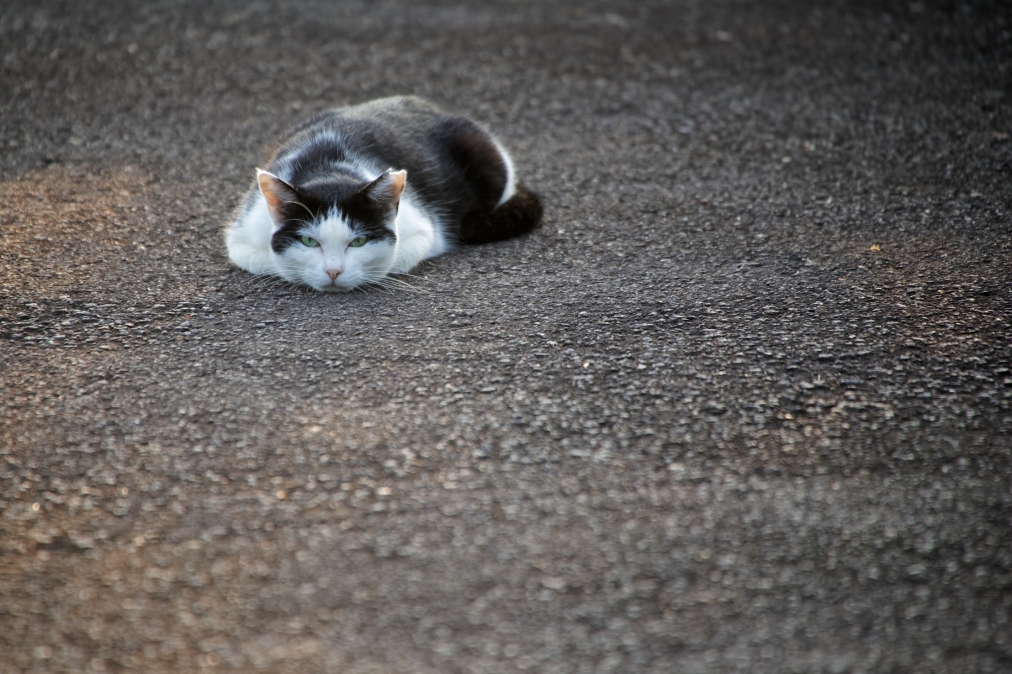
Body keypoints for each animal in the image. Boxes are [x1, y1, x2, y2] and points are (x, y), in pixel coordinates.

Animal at [220, 95, 538, 291]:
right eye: (309, 241)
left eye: (358, 241)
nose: (333, 271)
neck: (327, 168)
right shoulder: (242, 233)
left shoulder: (423, 230)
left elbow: (395, 258)